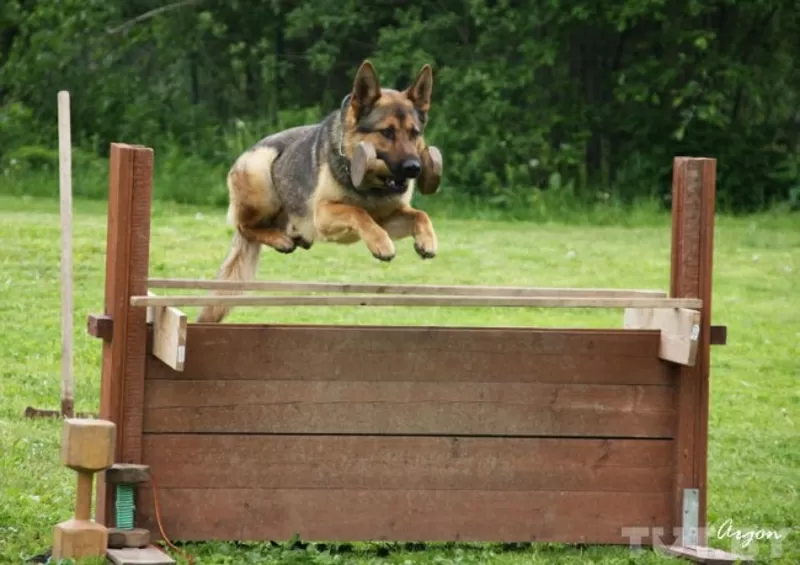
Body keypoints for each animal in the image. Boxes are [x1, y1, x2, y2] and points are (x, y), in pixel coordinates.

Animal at [198, 60, 438, 322]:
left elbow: (420, 215)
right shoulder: (323, 215)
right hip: (260, 170)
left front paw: (427, 241)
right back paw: (280, 239)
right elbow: (357, 212)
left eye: (414, 133)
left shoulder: (388, 219)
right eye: (387, 132)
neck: (370, 187)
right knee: (244, 225)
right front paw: (381, 244)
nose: (414, 168)